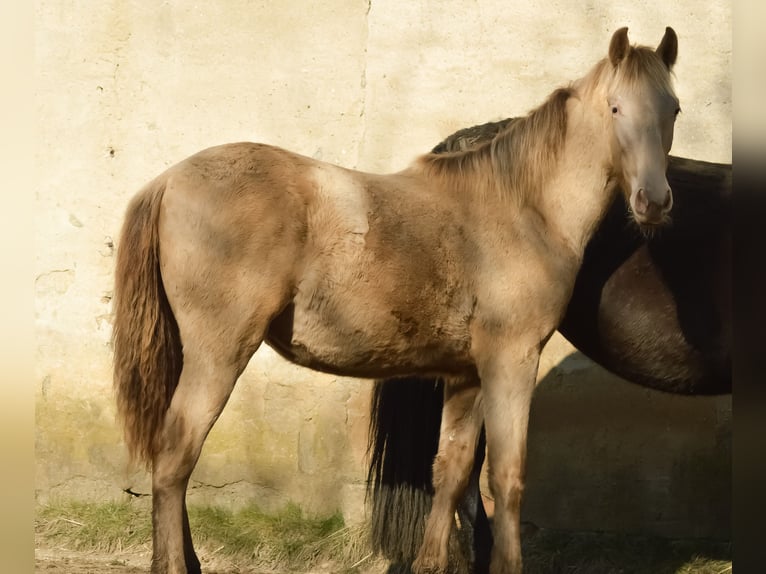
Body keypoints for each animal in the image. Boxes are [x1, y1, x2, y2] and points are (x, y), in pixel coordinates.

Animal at [112, 28, 680, 574]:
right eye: (615, 108)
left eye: (672, 109)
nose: (653, 202)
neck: (523, 208)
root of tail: (168, 181)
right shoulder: (511, 361)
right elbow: (506, 476)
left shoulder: (467, 374)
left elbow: (451, 470)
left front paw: (430, 563)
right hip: (219, 354)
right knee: (176, 459)